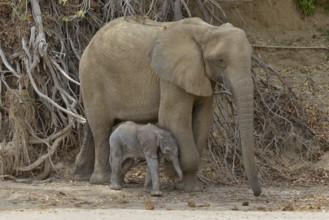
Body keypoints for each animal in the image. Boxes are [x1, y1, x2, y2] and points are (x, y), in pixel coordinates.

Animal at [74, 16, 262, 196]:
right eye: (220, 60)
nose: (257, 193)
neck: (208, 30)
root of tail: (90, 42)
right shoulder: (170, 76)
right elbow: (174, 117)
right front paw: (181, 182)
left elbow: (203, 119)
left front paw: (190, 186)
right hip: (92, 77)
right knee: (101, 127)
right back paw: (102, 180)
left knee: (92, 127)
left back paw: (84, 175)